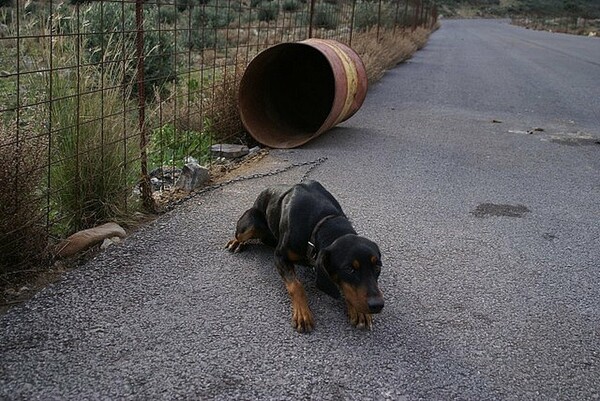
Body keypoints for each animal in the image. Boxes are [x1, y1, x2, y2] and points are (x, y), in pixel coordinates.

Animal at [225, 180, 384, 332]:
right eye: (349, 269)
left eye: (377, 267)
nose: (377, 305)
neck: (322, 222)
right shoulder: (280, 257)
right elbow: (296, 285)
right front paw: (302, 314)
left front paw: (359, 312)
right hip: (251, 222)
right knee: (240, 234)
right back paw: (235, 242)